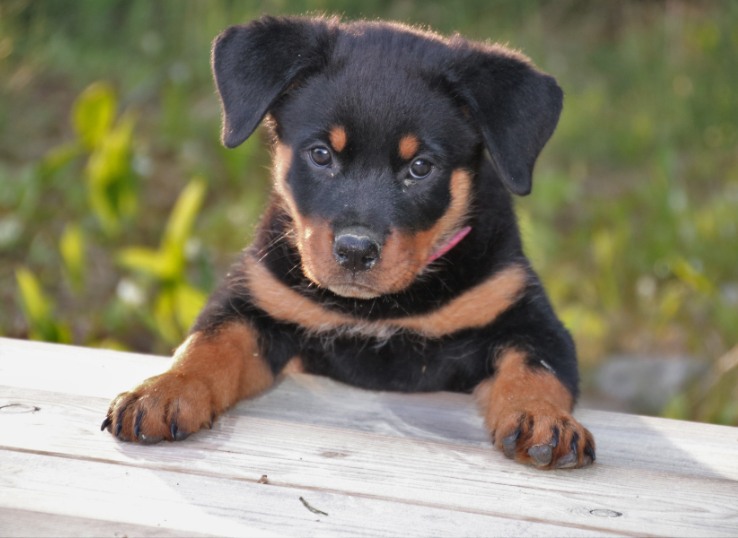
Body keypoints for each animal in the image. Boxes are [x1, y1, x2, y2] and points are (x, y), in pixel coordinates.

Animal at [102, 15, 592, 468]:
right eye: (321, 154)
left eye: (420, 167)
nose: (356, 250)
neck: (377, 311)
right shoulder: (256, 302)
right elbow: (209, 343)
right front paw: (164, 392)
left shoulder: (527, 318)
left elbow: (536, 369)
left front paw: (544, 420)